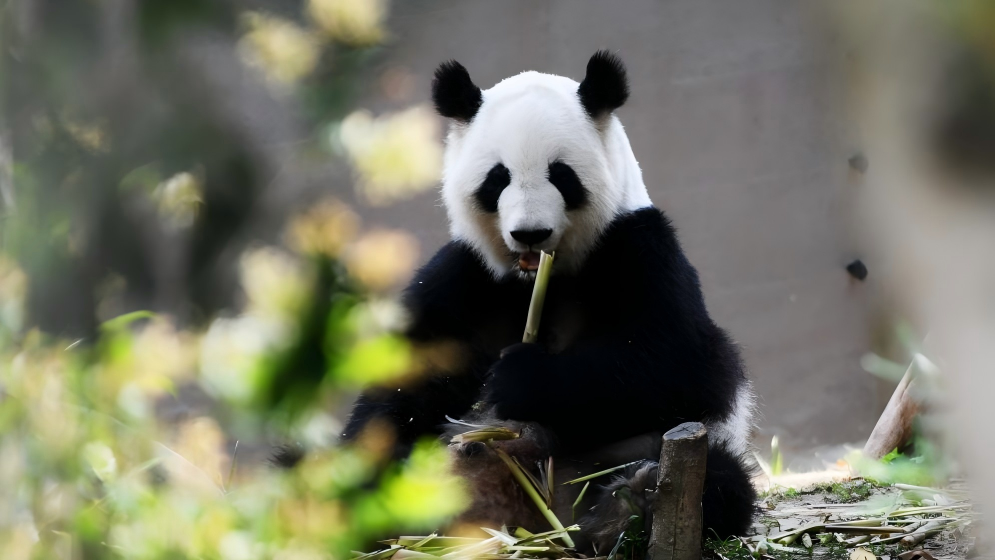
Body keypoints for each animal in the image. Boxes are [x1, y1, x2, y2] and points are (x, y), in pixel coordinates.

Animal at [342, 51, 757, 553]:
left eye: (561, 175)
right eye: (497, 178)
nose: (530, 233)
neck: (540, 277)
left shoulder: (638, 246)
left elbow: (680, 362)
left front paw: (517, 377)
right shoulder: (464, 276)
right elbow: (402, 381)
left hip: (646, 454)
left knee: (716, 480)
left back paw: (629, 506)